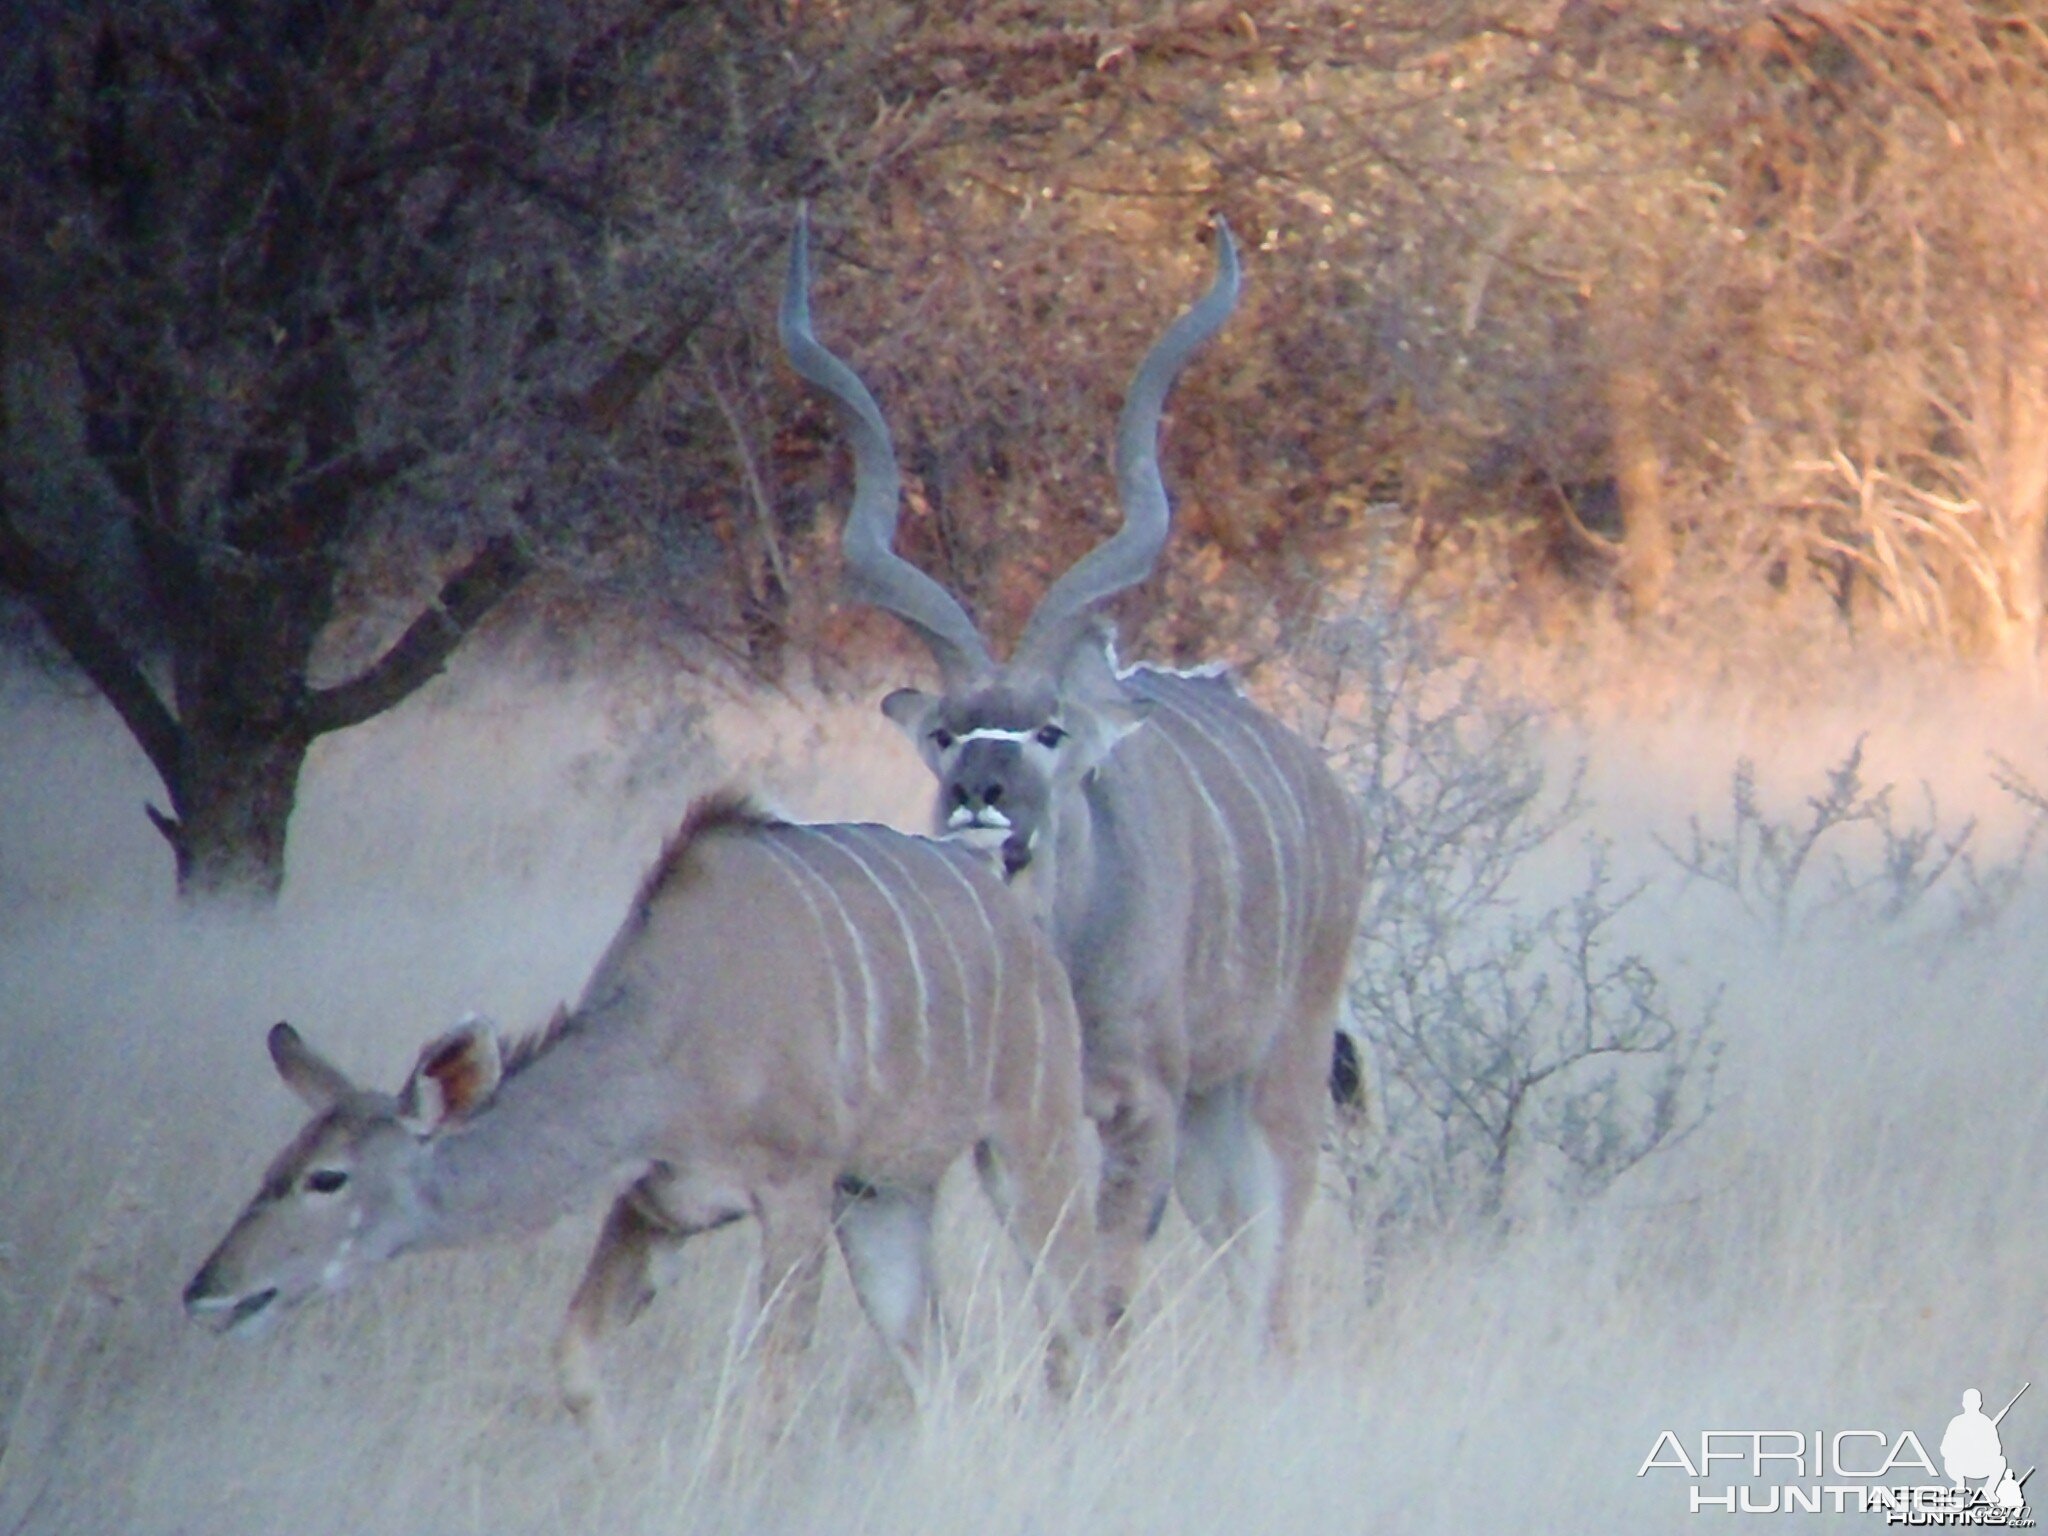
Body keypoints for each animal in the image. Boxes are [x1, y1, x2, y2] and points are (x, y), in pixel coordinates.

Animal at [184, 798, 1097, 1425]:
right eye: (273, 1168)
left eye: (327, 1179)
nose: (207, 1292)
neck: (666, 1035)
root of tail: (1015, 904)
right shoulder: (655, 1202)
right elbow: (575, 1356)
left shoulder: (794, 1193)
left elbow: (770, 1386)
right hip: (883, 1196)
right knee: (932, 1361)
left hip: (1027, 1150)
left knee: (1082, 1315)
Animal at [778, 214, 1359, 1343]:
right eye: (946, 733)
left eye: (1049, 731)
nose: (982, 800)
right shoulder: (1027, 1123)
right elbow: (1058, 1278)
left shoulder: (1144, 1104)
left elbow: (1103, 1284)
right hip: (1216, 1110)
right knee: (1235, 1241)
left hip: (1281, 1066)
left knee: (1271, 1257)